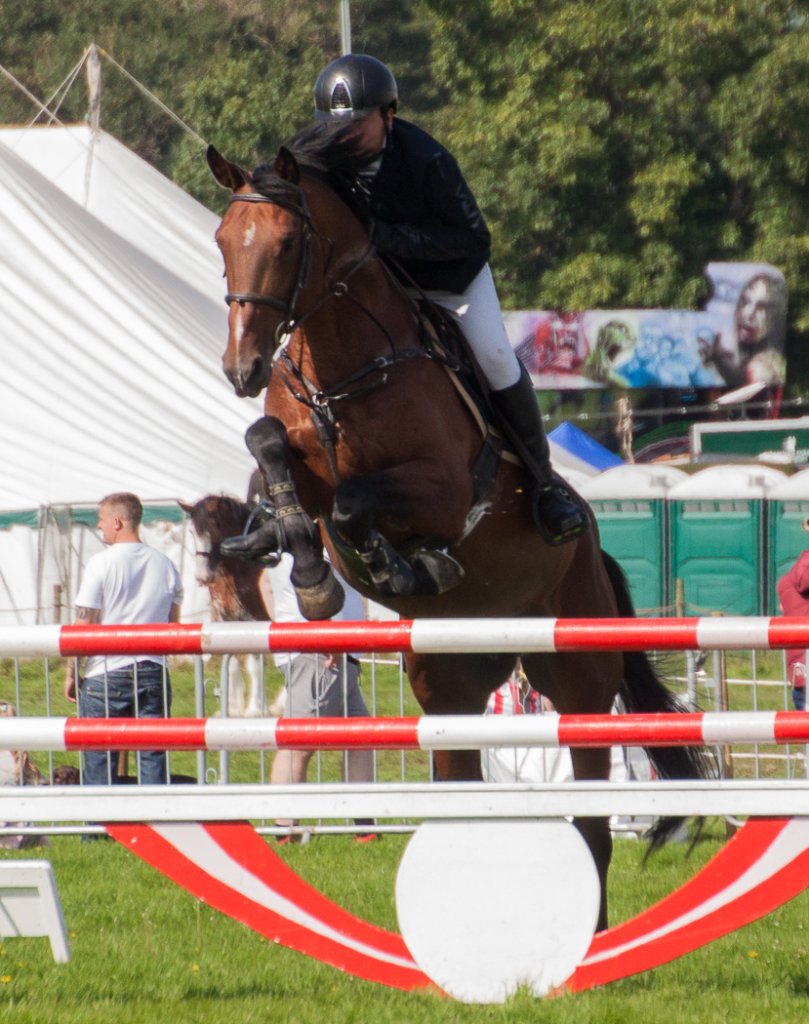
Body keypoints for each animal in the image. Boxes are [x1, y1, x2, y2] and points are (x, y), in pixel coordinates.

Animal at [179, 495, 284, 717]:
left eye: (215, 529)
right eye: (192, 532)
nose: (202, 577)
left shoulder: (257, 620)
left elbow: (254, 665)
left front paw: (255, 709)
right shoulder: (226, 619)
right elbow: (233, 663)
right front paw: (233, 708)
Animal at [206, 125, 708, 929]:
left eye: (285, 243)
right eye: (225, 239)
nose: (242, 368)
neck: (343, 366)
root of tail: (597, 556)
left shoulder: (441, 491)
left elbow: (354, 505)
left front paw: (389, 567)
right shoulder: (297, 455)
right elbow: (269, 449)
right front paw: (299, 559)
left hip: (576, 680)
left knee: (593, 820)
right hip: (449, 687)